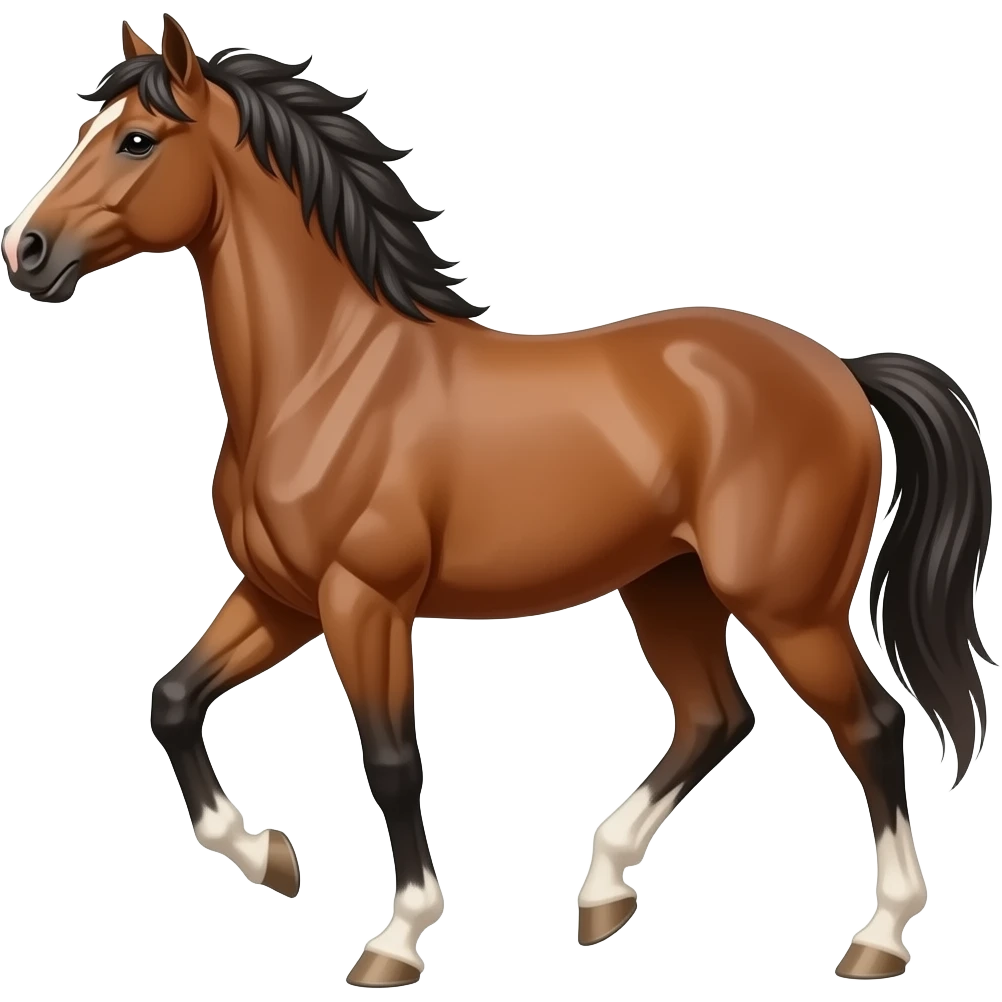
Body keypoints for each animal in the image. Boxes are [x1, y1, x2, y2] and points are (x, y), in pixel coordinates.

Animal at [4, 15, 993, 988]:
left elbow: (392, 760)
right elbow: (173, 702)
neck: (329, 377)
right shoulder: (284, 599)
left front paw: (396, 940)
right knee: (717, 717)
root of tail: (842, 371)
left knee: (871, 725)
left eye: (137, 140)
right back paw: (603, 892)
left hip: (788, 605)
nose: (26, 252)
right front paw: (272, 858)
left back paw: (878, 938)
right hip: (668, 587)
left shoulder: (365, 601)